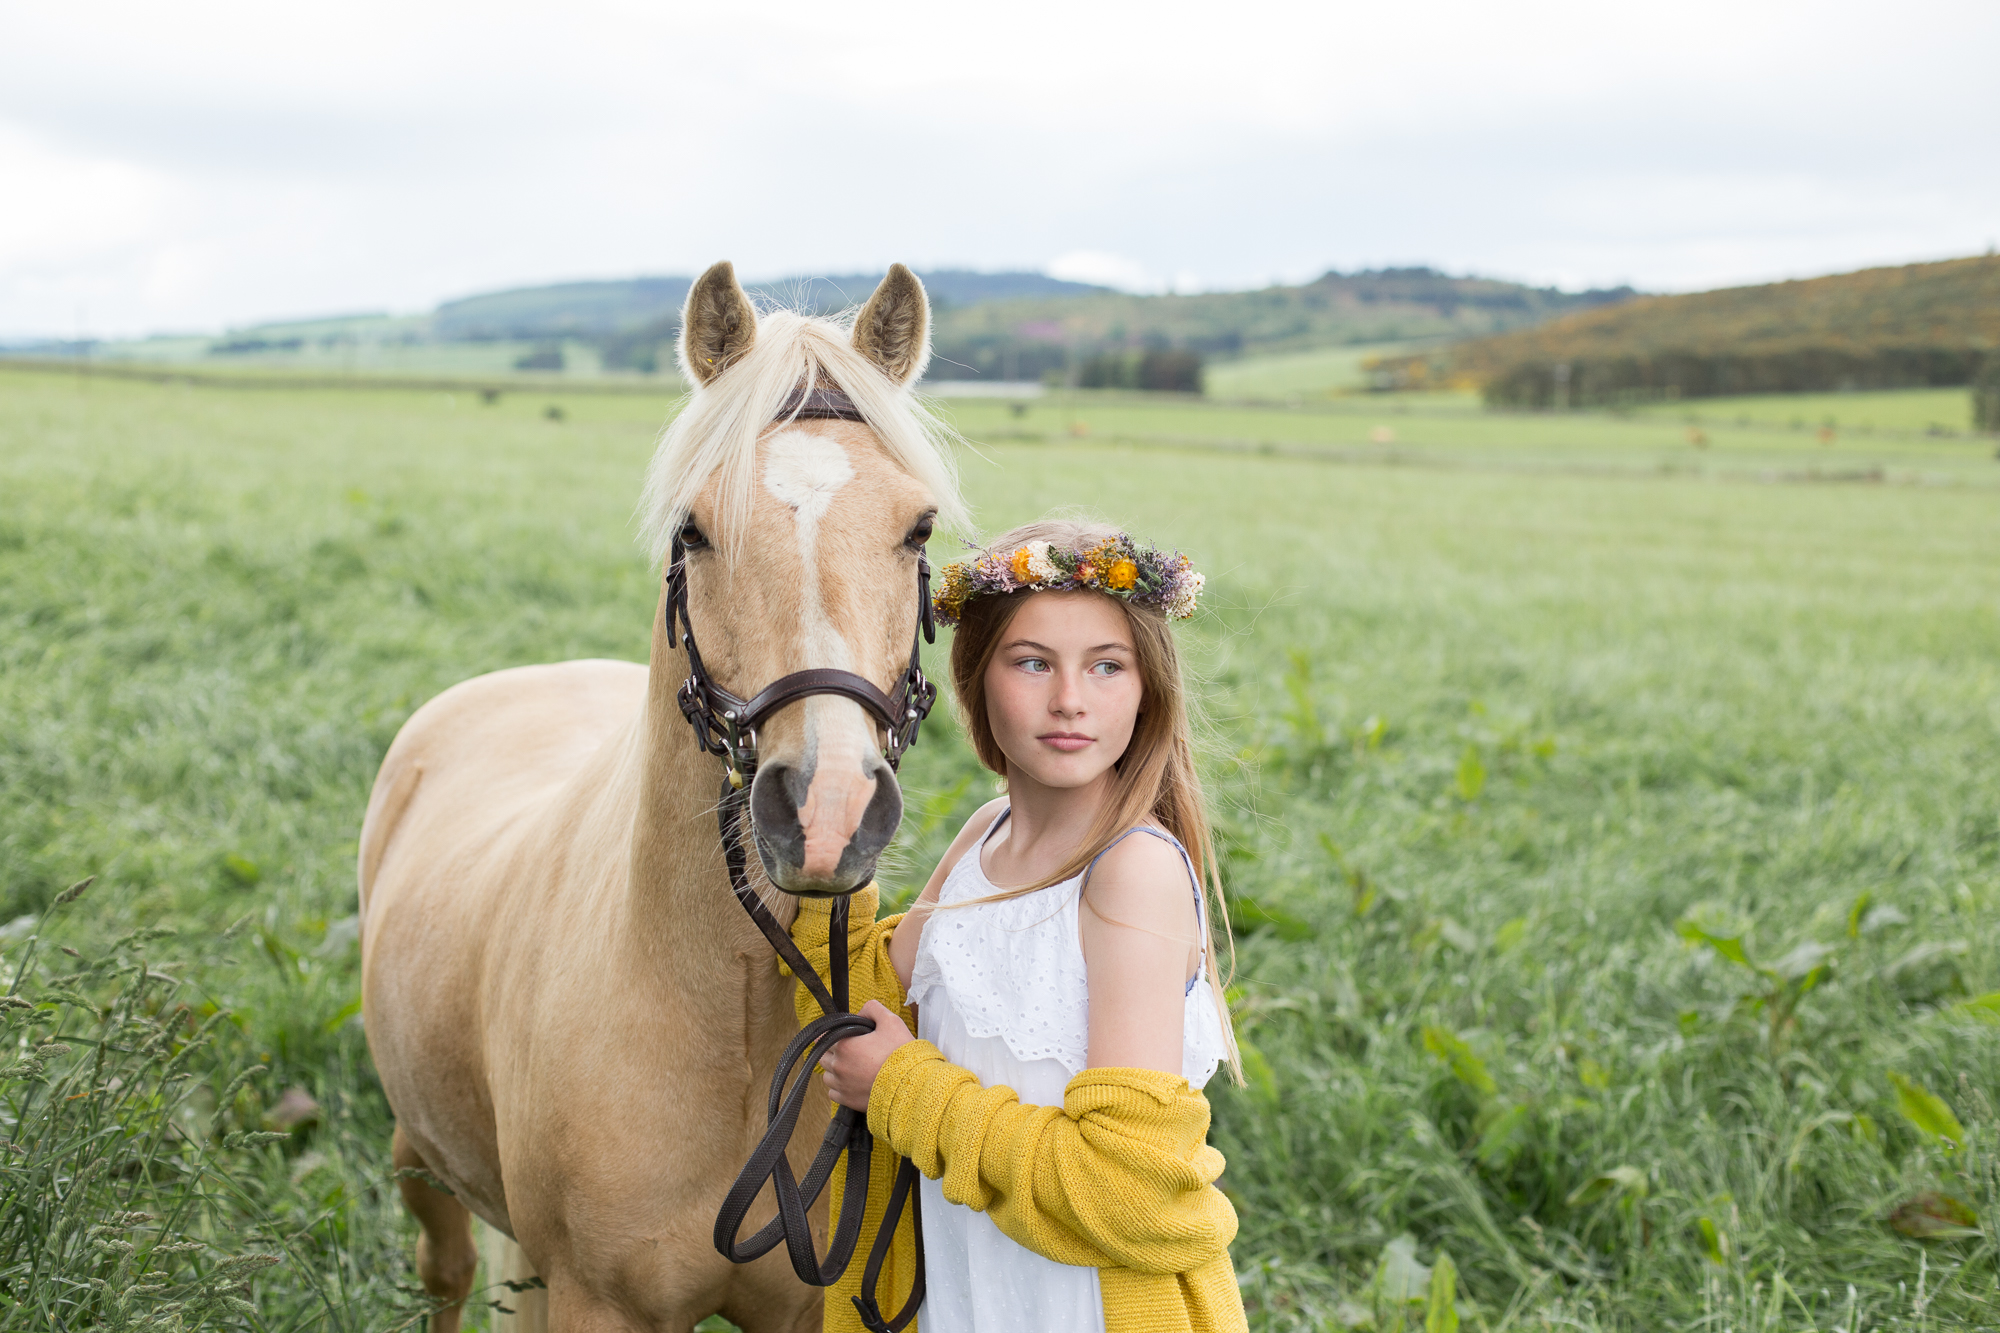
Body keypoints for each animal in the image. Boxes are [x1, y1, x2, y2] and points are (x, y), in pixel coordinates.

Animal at [362, 262, 968, 1328]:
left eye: (918, 527)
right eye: (695, 526)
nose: (825, 814)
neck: (732, 1024)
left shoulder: (800, 1307)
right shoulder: (598, 1300)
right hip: (419, 1158)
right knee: (448, 1273)